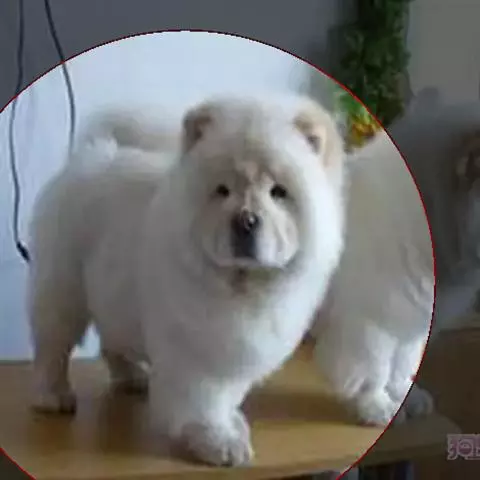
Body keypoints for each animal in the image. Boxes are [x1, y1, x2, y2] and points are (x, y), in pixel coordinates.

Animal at [27, 94, 347, 466]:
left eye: (278, 192)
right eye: (222, 191)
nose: (246, 221)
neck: (240, 285)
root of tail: (94, 157)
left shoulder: (235, 345)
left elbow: (226, 394)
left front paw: (231, 425)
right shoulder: (197, 348)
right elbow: (203, 399)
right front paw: (219, 442)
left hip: (113, 293)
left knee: (111, 341)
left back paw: (132, 377)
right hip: (64, 286)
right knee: (54, 344)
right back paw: (53, 396)